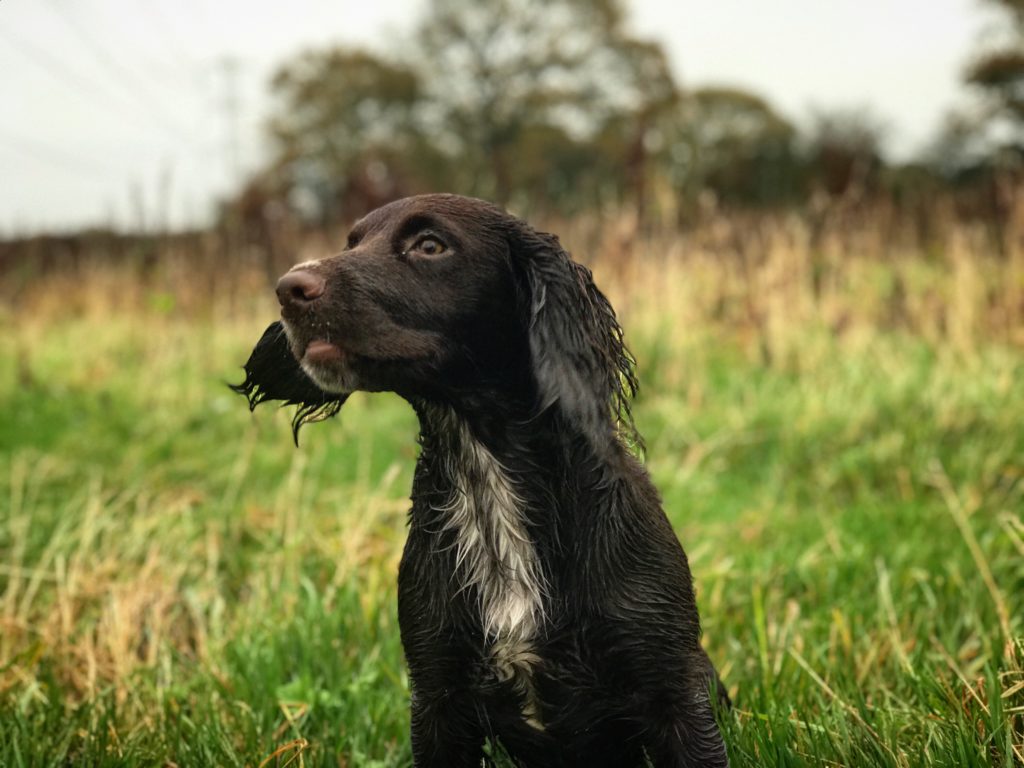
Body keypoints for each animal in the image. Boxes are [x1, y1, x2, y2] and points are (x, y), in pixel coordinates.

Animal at [234, 195, 729, 765]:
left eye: (430, 245)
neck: (487, 480)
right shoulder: (437, 694)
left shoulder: (674, 688)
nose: (287, 289)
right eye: (351, 243)